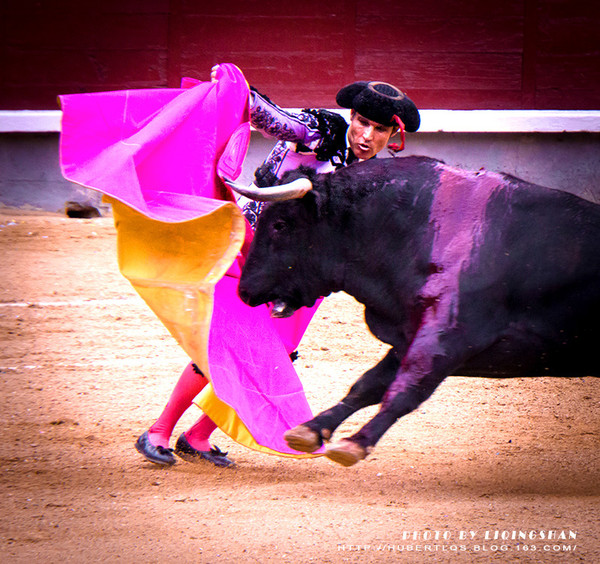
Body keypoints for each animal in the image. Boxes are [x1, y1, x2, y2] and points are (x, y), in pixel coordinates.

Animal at [225, 155, 600, 468]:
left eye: (281, 225)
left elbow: (408, 386)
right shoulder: (410, 335)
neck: (421, 228)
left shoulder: (449, 335)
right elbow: (367, 385)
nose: (244, 291)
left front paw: (355, 443)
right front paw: (310, 430)